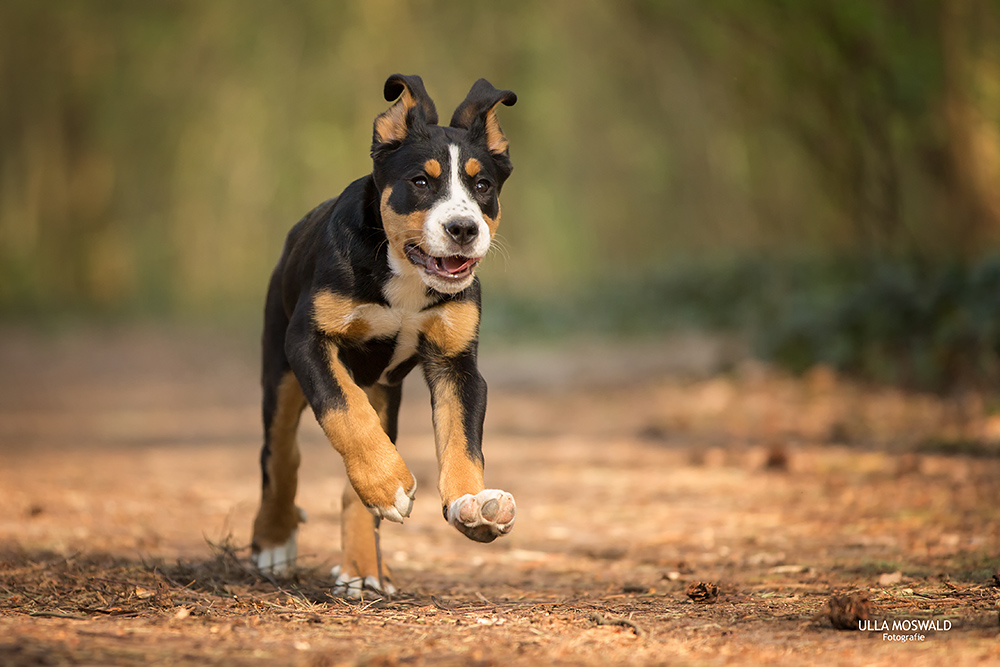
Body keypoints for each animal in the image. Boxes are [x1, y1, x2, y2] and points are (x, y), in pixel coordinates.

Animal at [250, 75, 520, 596]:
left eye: (482, 186)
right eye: (420, 182)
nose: (463, 228)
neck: (405, 277)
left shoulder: (457, 363)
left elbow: (462, 439)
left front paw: (472, 503)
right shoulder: (308, 342)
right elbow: (344, 411)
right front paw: (386, 481)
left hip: (382, 392)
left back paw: (365, 570)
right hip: (280, 372)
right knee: (280, 457)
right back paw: (273, 543)